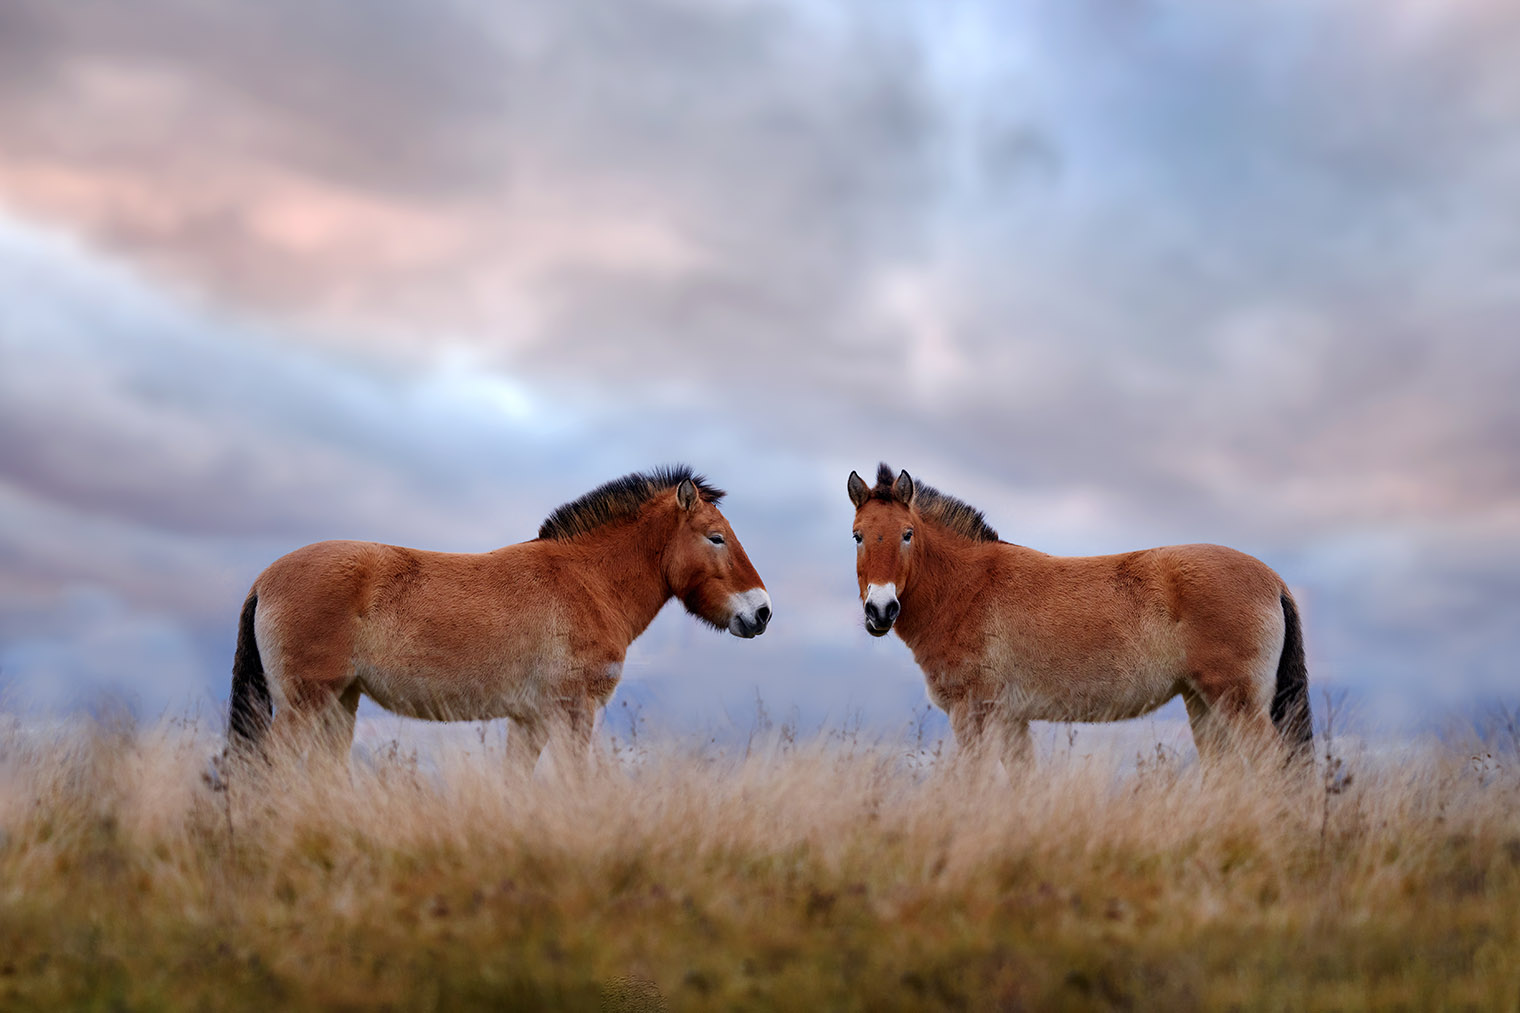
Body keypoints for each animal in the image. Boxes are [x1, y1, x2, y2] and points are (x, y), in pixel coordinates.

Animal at [228, 466, 771, 771]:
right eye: (716, 537)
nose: (762, 612)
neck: (586, 581)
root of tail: (264, 579)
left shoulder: (529, 720)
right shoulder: (572, 713)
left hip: (340, 702)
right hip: (305, 704)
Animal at [847, 464, 1312, 769]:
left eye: (907, 534)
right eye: (857, 536)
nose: (881, 611)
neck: (967, 586)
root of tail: (1274, 580)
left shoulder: (973, 714)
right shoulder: (1011, 719)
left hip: (1236, 703)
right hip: (1202, 703)